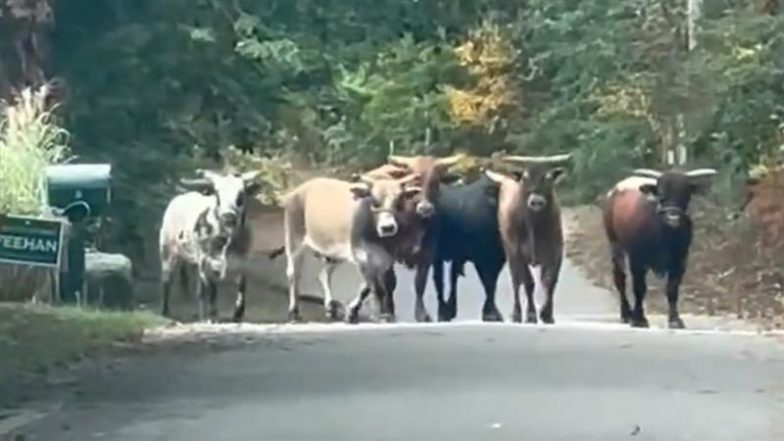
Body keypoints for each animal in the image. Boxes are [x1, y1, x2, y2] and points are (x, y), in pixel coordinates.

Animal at [604, 167, 720, 328]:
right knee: (620, 278)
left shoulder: (680, 260)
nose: (673, 217)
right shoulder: (637, 259)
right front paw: (639, 318)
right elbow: (639, 288)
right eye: (661, 193)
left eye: (685, 193)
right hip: (615, 246)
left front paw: (675, 319)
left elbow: (672, 289)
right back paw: (626, 313)